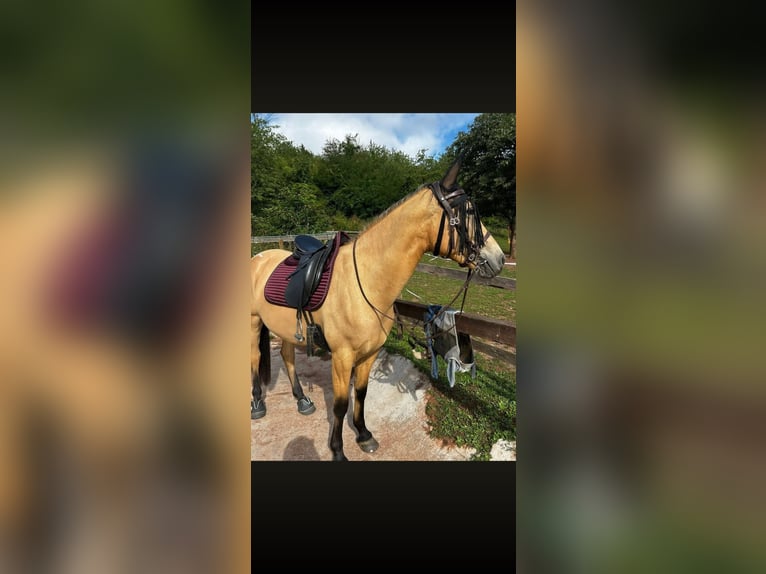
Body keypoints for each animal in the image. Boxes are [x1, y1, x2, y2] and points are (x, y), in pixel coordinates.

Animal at [250, 156, 506, 461]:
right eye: (467, 212)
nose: (499, 259)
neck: (366, 283)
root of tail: (259, 257)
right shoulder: (342, 357)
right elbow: (340, 405)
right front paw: (338, 450)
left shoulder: (369, 354)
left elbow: (360, 394)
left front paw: (364, 435)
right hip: (252, 323)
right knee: (254, 359)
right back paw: (257, 404)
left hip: (286, 328)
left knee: (288, 357)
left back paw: (302, 400)